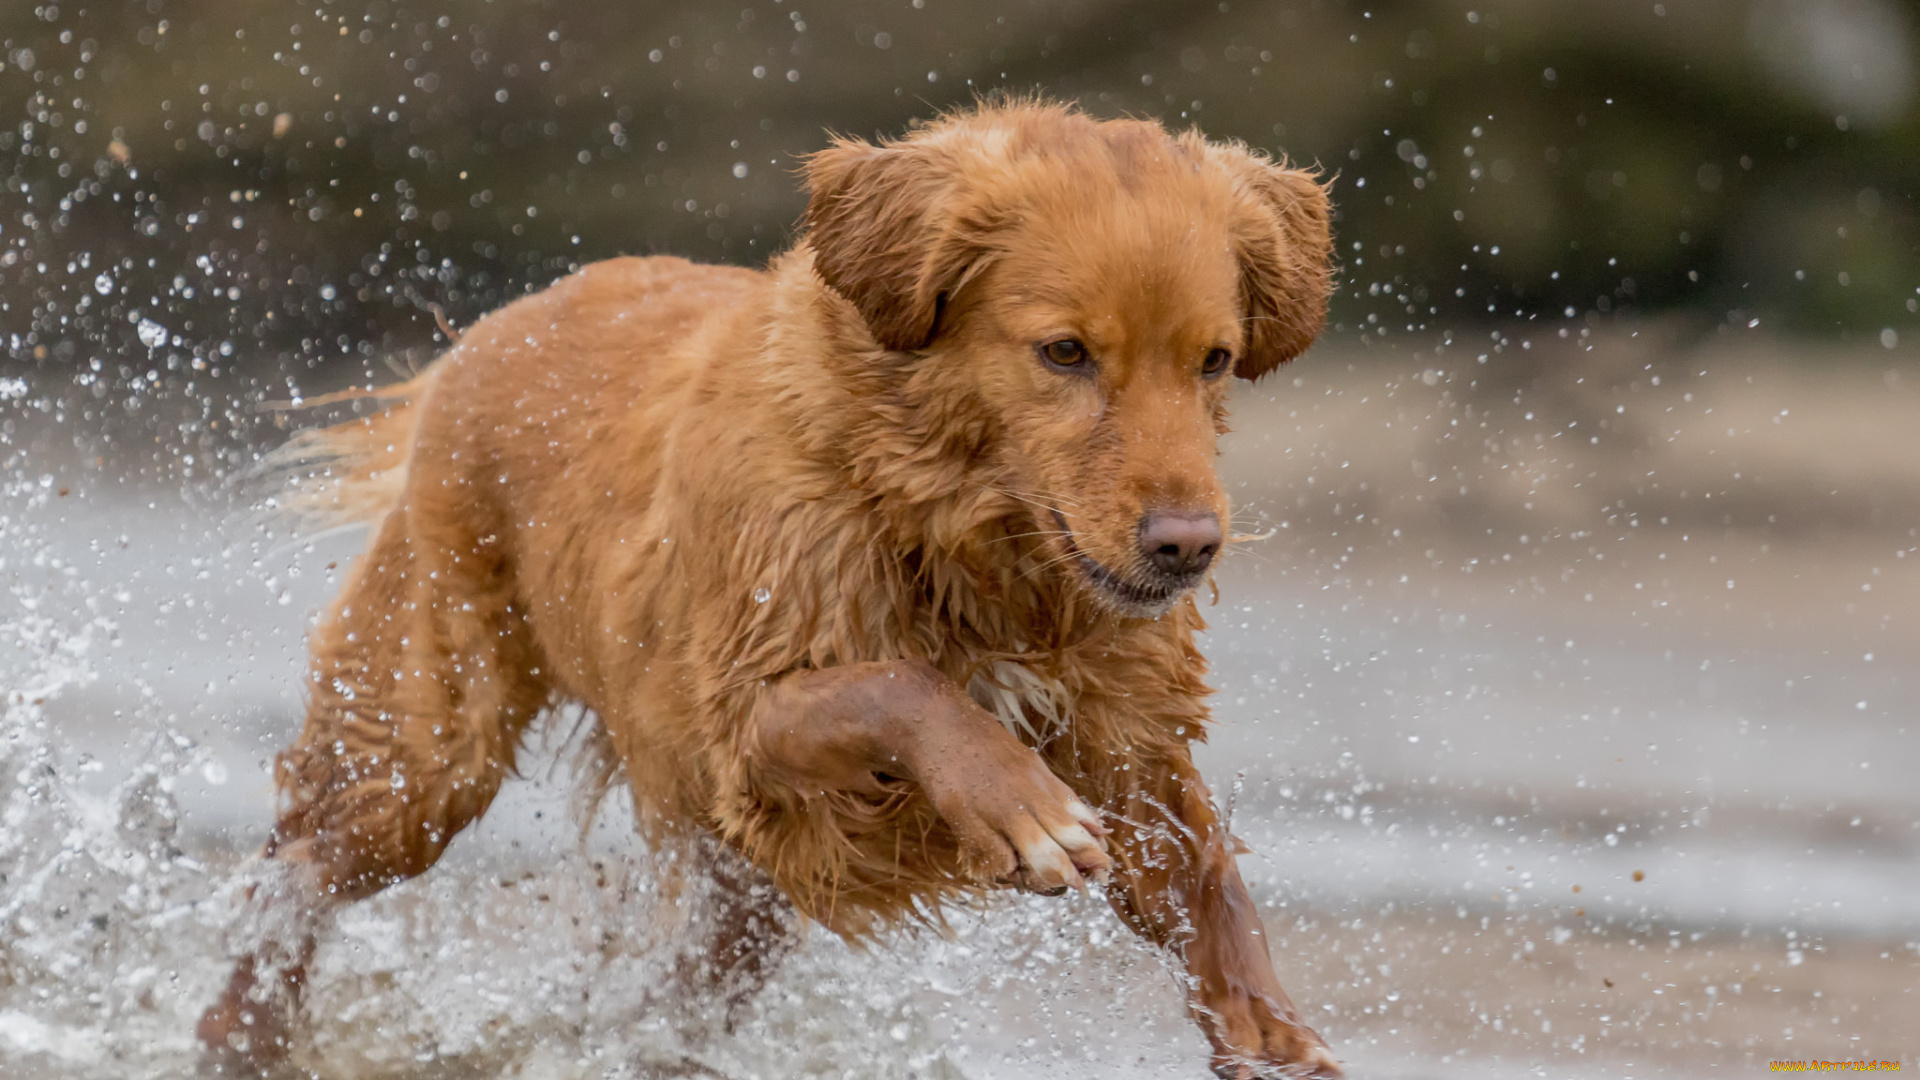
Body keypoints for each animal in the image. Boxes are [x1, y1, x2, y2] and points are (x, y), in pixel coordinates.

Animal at [198, 96, 1336, 1068]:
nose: (1187, 546)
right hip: (426, 751)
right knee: (292, 875)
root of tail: (487, 332)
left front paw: (1269, 1031)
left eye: (1214, 359)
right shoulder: (742, 728)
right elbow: (898, 686)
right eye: (1064, 352)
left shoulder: (1126, 728)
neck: (947, 526)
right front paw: (1021, 805)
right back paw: (239, 1030)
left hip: (732, 905)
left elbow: (1205, 874)